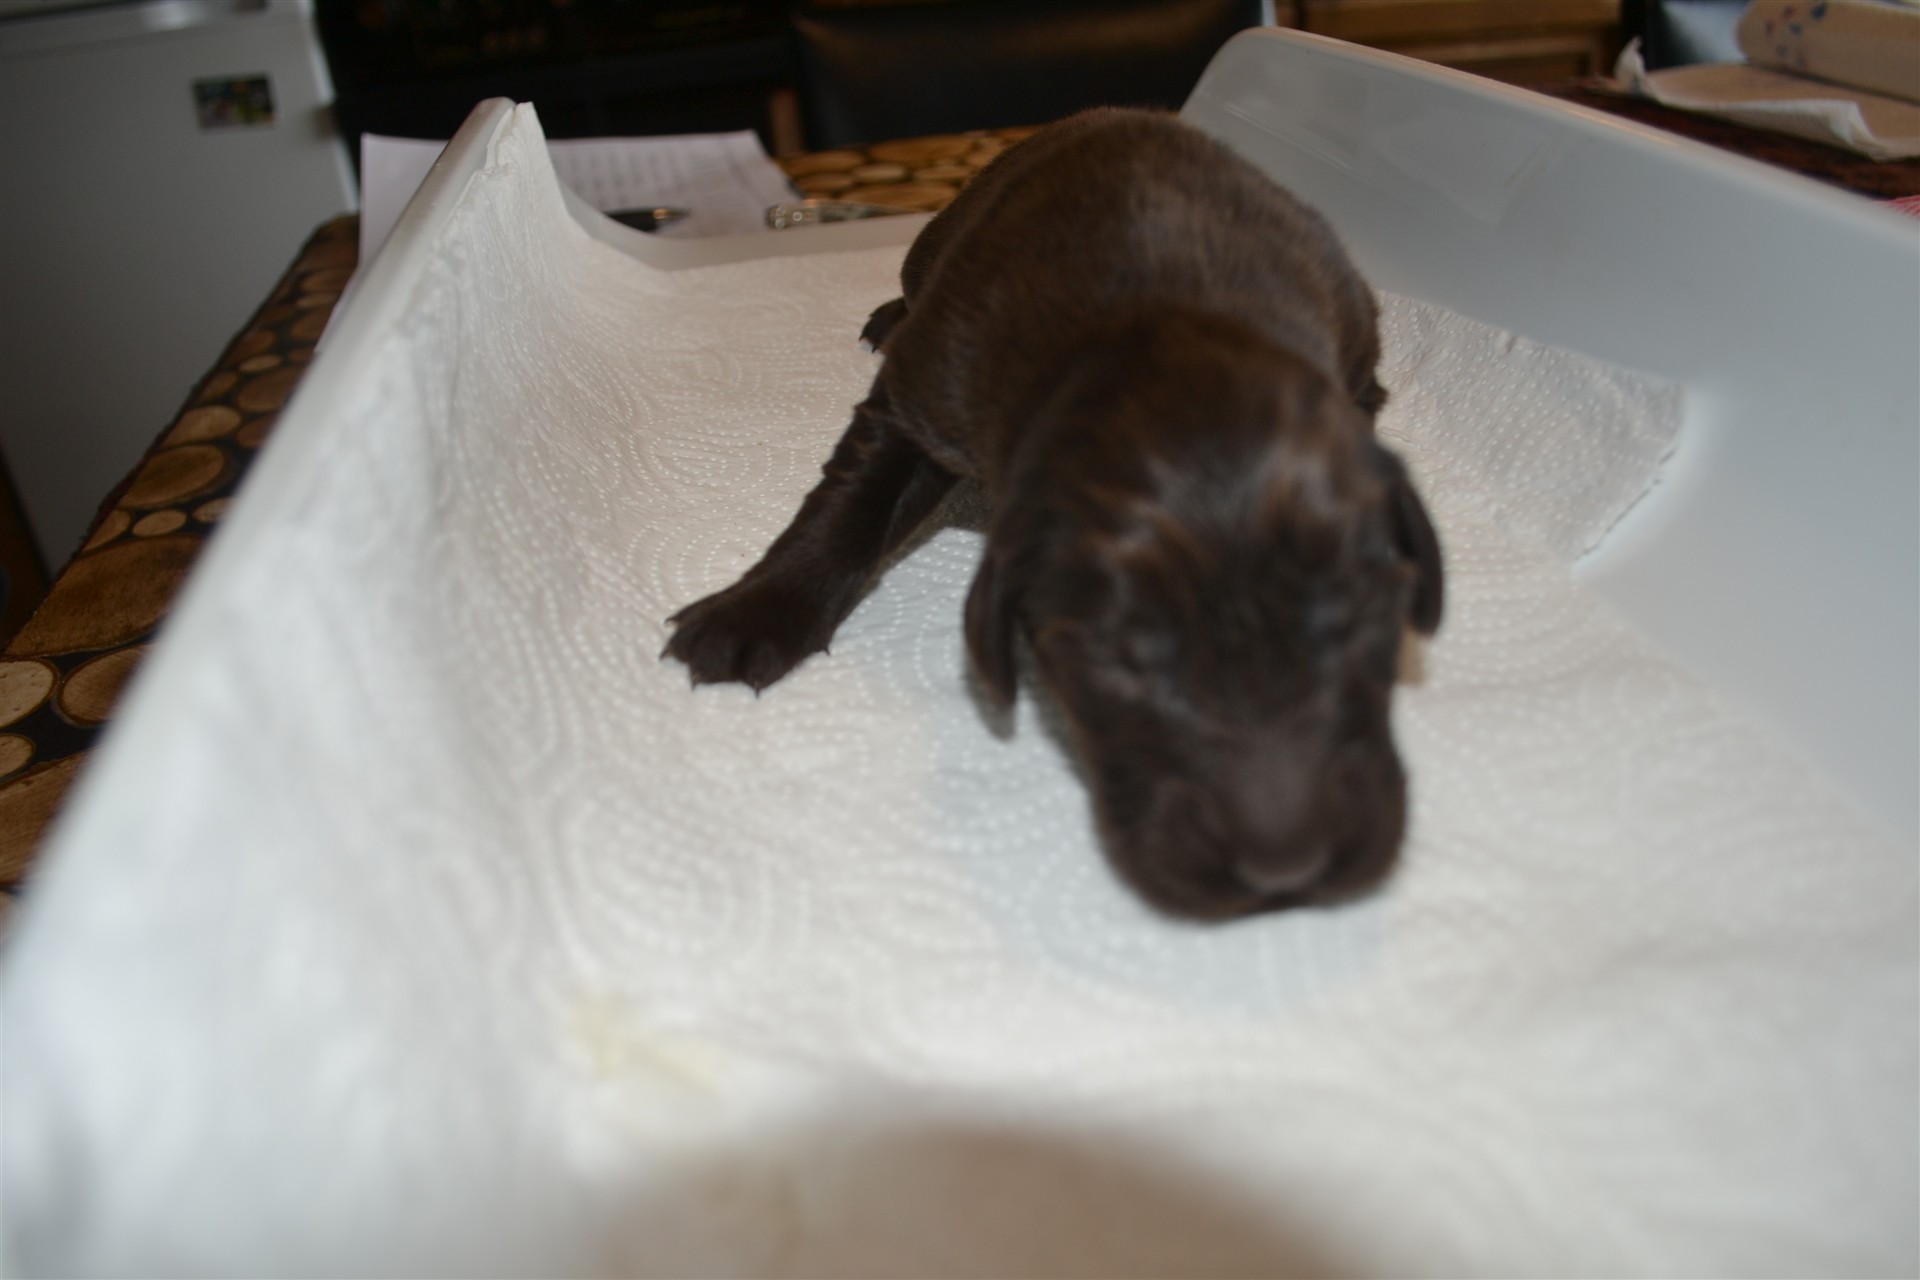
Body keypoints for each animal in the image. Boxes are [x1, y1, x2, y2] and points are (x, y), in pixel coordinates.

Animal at [662, 108, 1443, 920]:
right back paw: (887, 315)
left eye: (1362, 620)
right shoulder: (920, 395)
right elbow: (850, 498)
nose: (1286, 871)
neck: (1159, 317)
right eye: (1116, 658)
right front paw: (755, 610)